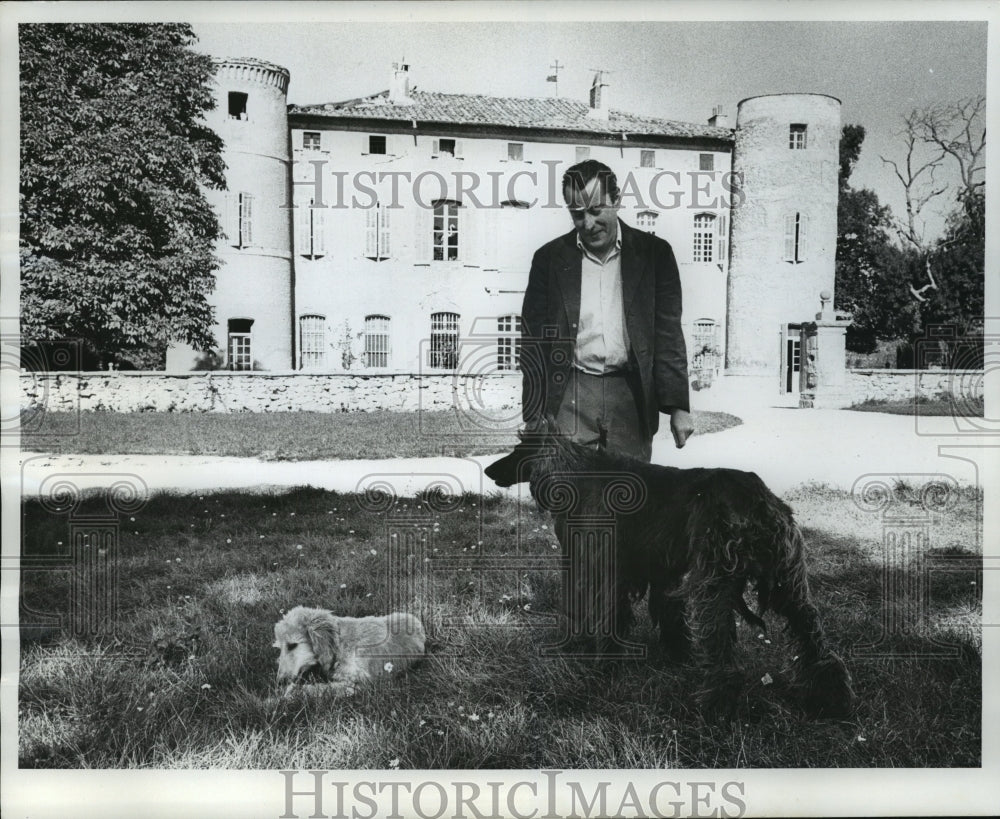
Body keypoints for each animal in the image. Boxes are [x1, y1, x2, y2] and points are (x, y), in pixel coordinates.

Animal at [274, 604, 426, 696]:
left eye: (292, 645)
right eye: (280, 647)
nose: (280, 681)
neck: (339, 643)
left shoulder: (359, 682)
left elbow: (320, 689)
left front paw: (287, 694)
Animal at [484, 422, 852, 716]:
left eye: (518, 450)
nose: (488, 471)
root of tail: (760, 501)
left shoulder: (606, 568)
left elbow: (608, 619)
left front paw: (605, 666)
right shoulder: (662, 570)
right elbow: (666, 616)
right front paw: (676, 653)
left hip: (715, 585)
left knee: (721, 646)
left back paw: (718, 704)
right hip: (787, 583)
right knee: (813, 635)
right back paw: (831, 697)